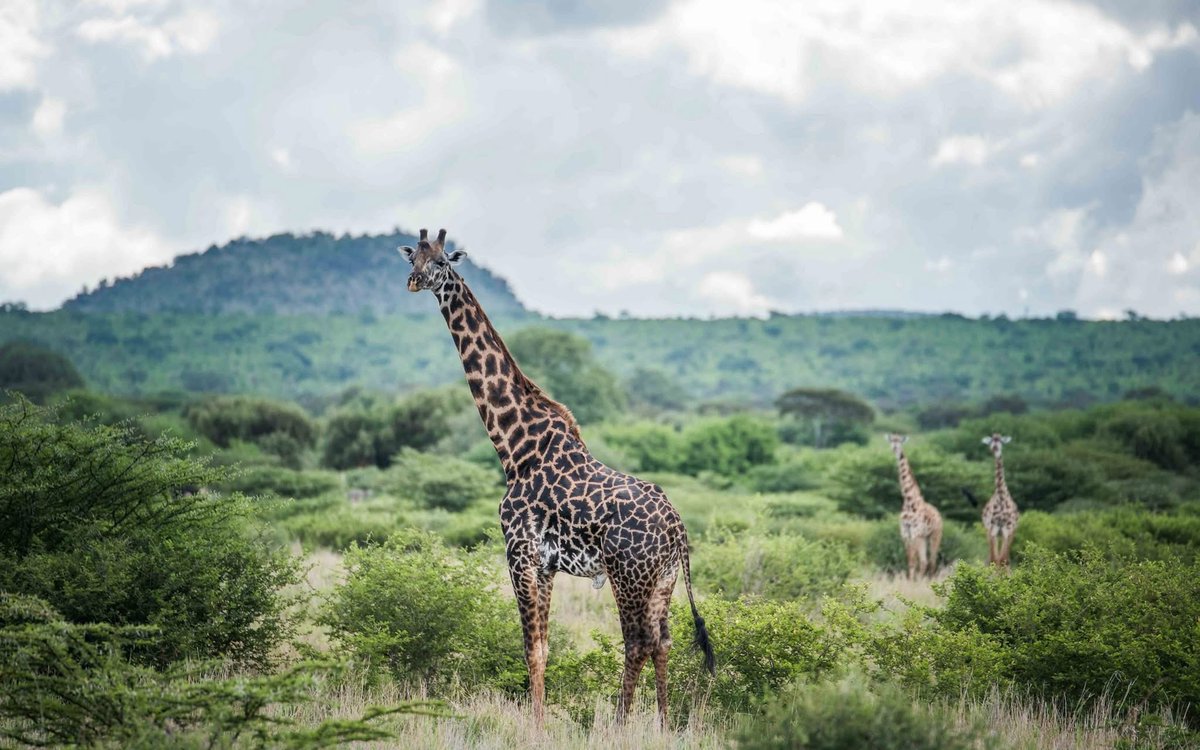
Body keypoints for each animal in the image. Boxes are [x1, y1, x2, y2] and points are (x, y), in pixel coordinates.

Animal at [401, 229, 715, 726]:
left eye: (442, 262)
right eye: (413, 257)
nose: (415, 281)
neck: (513, 447)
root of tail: (678, 530)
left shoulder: (520, 553)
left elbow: (532, 649)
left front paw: (536, 727)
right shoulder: (546, 564)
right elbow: (545, 648)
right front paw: (540, 720)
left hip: (628, 574)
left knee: (637, 642)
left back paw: (619, 726)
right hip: (661, 580)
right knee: (662, 641)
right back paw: (664, 726)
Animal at [885, 434, 943, 579]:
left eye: (900, 441)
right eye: (891, 441)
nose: (895, 449)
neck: (909, 501)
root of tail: (939, 515)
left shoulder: (915, 532)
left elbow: (914, 561)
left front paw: (912, 582)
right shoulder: (906, 533)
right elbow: (911, 561)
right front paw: (910, 581)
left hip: (935, 535)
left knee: (932, 560)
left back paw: (929, 580)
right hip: (924, 537)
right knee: (925, 561)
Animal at [980, 433, 1018, 567]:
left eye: (1000, 441)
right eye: (991, 441)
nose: (994, 448)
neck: (1001, 496)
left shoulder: (1008, 529)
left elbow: (1002, 560)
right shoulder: (993, 528)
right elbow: (994, 559)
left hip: (1009, 532)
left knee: (1005, 559)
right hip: (992, 532)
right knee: (994, 557)